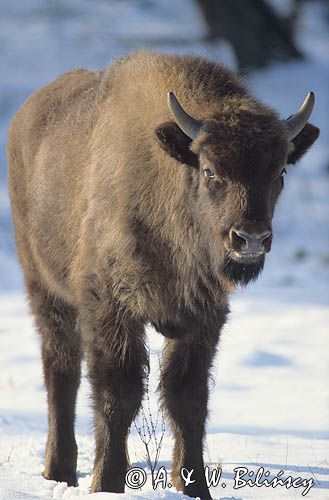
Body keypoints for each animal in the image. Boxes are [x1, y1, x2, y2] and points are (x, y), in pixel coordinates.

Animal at [7, 51, 318, 500]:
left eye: (279, 173)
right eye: (209, 170)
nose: (251, 239)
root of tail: (26, 114)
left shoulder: (202, 318)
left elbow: (187, 399)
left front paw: (194, 487)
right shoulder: (111, 307)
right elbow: (118, 394)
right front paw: (107, 483)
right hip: (46, 291)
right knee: (61, 373)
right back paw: (59, 470)